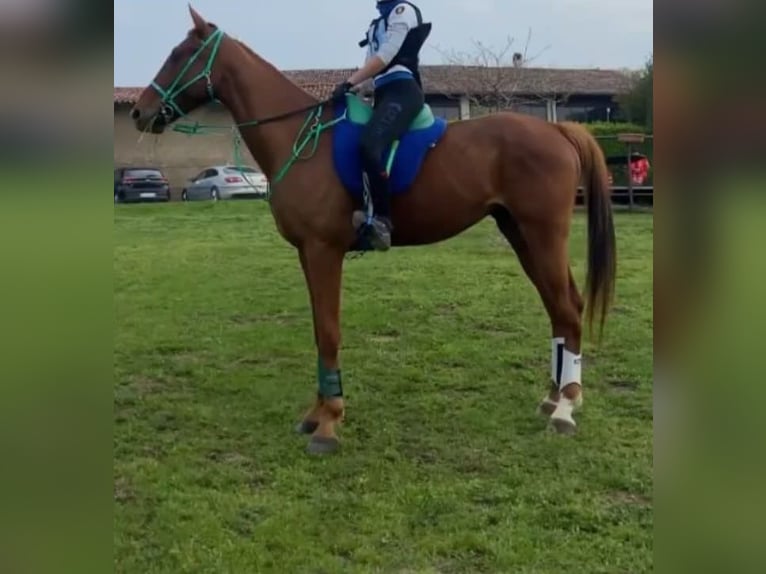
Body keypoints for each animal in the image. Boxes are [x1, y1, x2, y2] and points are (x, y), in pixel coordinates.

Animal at [130, 4, 616, 454]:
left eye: (180, 55)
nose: (139, 111)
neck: (300, 135)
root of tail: (557, 129)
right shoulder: (308, 253)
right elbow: (318, 331)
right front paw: (316, 413)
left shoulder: (323, 249)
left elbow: (329, 332)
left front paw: (329, 423)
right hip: (521, 235)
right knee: (560, 308)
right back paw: (554, 398)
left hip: (543, 235)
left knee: (566, 309)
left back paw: (565, 409)